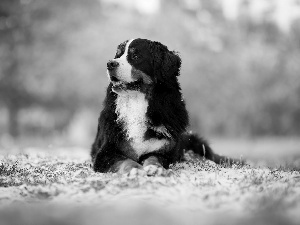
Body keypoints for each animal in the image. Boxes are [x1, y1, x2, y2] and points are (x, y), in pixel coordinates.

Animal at [90, 38, 236, 176]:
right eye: (118, 55)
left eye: (136, 56)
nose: (110, 63)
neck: (136, 103)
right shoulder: (106, 152)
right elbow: (124, 160)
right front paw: (135, 169)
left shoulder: (166, 152)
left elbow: (154, 157)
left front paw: (155, 168)